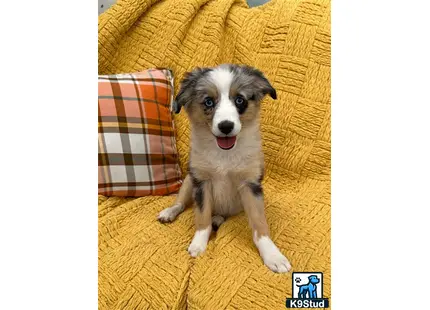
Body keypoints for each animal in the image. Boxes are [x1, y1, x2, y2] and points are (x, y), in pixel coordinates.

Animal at [158, 64, 292, 272]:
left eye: (240, 100)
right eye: (208, 102)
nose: (226, 126)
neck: (224, 155)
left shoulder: (250, 184)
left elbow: (259, 221)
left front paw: (273, 255)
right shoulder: (201, 182)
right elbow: (202, 216)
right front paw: (198, 244)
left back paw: (217, 219)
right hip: (189, 180)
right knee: (180, 203)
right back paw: (169, 213)